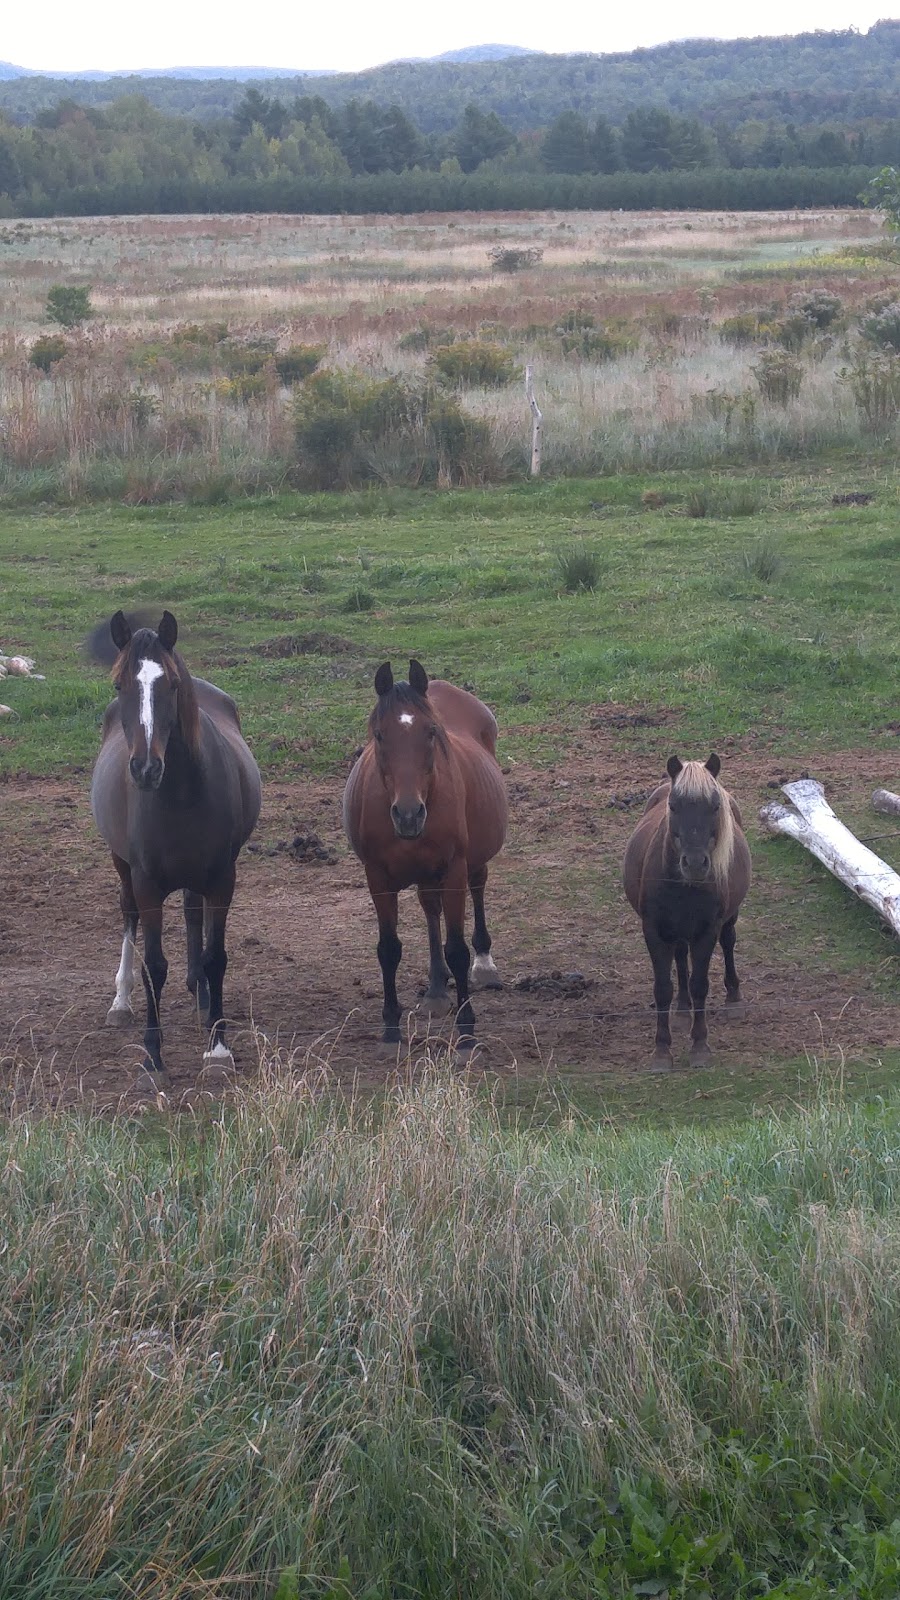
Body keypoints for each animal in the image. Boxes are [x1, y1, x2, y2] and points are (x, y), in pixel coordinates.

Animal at [88, 611, 259, 1088]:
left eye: (172, 685)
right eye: (119, 684)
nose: (146, 768)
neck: (180, 793)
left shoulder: (222, 878)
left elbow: (216, 956)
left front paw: (218, 1049)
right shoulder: (147, 884)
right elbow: (153, 964)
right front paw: (152, 1058)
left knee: (192, 912)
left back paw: (200, 994)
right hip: (122, 865)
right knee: (128, 915)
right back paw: (121, 1002)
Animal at [341, 659, 509, 1049]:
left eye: (431, 732)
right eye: (379, 735)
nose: (408, 815)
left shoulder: (454, 869)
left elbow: (457, 950)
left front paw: (466, 1032)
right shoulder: (377, 876)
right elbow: (389, 949)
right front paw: (390, 1030)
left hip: (470, 862)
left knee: (478, 889)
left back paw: (484, 964)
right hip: (426, 875)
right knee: (431, 910)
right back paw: (435, 989)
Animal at [614, 752, 749, 1075]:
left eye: (714, 806)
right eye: (673, 806)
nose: (696, 864)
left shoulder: (706, 932)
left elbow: (700, 984)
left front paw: (700, 1047)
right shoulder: (653, 931)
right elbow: (663, 989)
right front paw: (662, 1051)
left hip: (727, 920)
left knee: (728, 943)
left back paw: (733, 998)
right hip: (675, 932)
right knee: (679, 957)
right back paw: (682, 1010)